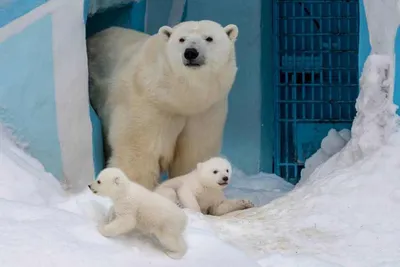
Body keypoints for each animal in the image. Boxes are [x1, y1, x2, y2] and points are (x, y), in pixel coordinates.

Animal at [87, 20, 238, 191]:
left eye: (209, 38)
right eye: (181, 39)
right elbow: (138, 153)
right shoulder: (148, 105)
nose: (190, 52)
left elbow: (193, 154)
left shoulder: (205, 112)